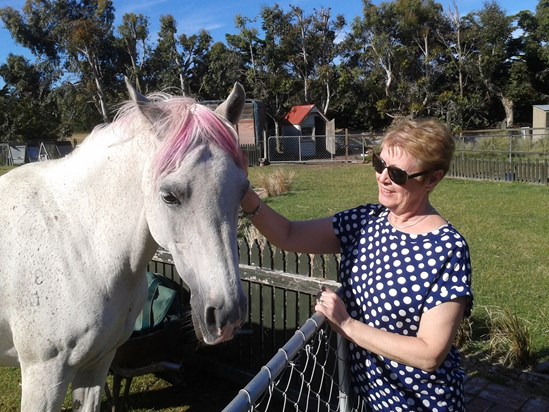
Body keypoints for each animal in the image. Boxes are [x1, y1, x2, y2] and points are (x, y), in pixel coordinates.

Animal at [0, 80, 248, 412]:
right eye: (169, 196)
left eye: (243, 191)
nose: (227, 316)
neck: (81, 247)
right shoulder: (43, 376)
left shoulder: (97, 364)